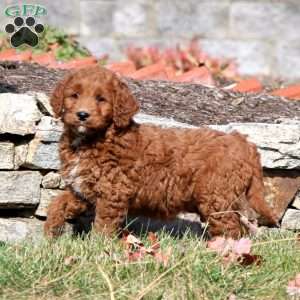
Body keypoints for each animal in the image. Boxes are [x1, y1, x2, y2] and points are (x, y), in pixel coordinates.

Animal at [44, 66, 276, 239]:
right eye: (74, 95)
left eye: (101, 99)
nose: (82, 115)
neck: (93, 139)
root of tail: (242, 142)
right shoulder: (82, 189)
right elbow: (57, 203)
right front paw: (50, 232)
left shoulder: (112, 193)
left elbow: (103, 226)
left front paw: (99, 249)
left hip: (217, 197)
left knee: (231, 229)